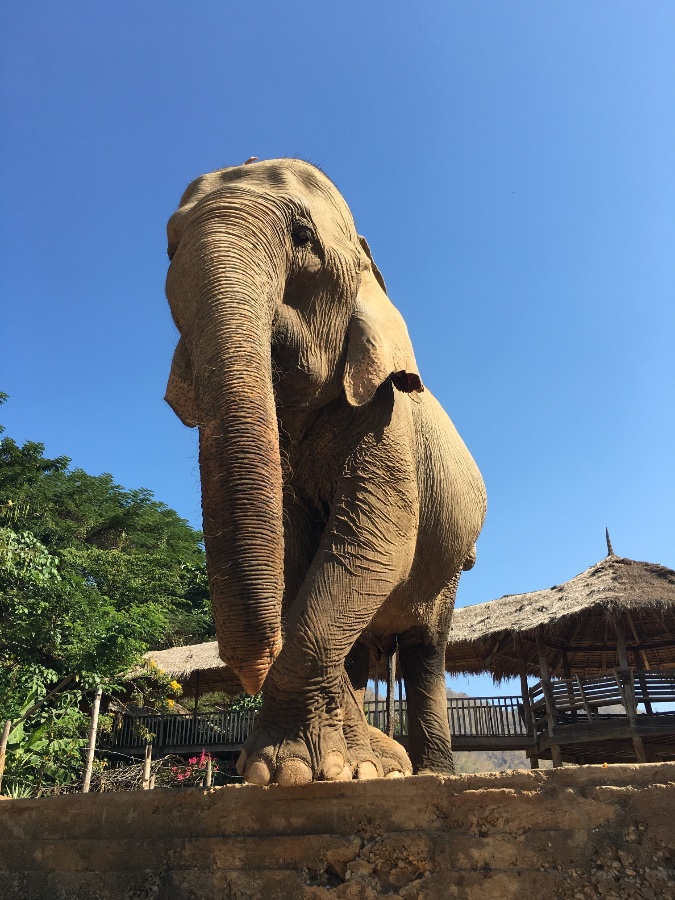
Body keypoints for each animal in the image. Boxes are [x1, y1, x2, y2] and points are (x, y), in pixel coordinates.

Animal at [164, 158, 486, 785]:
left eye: (303, 239)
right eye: (168, 251)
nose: (250, 669)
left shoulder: (387, 419)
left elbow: (375, 543)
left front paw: (297, 771)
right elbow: (296, 556)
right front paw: (343, 766)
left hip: (451, 564)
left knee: (426, 647)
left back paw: (431, 772)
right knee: (363, 647)